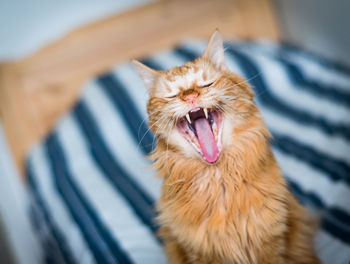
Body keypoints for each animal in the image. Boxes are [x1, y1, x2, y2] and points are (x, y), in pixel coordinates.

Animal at [132, 31, 320, 264]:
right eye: (172, 95)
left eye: (207, 84)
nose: (191, 97)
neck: (218, 178)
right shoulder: (199, 252)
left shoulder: (271, 241)